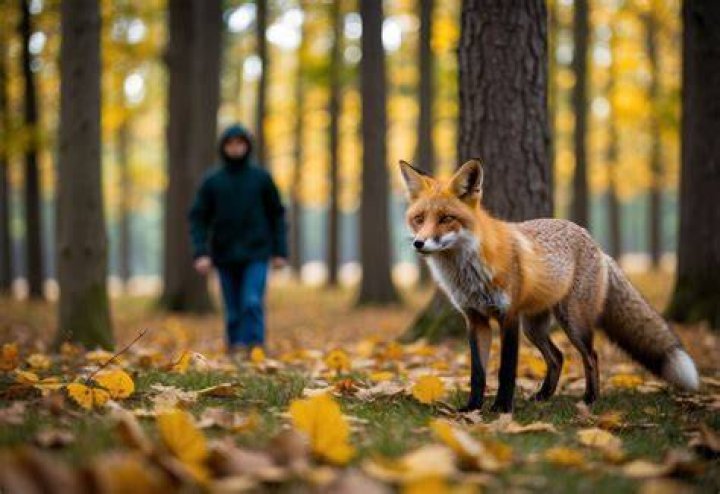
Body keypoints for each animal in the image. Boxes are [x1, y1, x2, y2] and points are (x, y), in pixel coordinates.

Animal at [399, 159, 700, 413]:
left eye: (446, 218)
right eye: (419, 219)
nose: (419, 243)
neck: (466, 272)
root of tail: (596, 244)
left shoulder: (508, 317)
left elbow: (506, 370)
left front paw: (501, 409)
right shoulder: (475, 319)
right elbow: (478, 372)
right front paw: (472, 409)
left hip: (573, 322)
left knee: (591, 356)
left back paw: (589, 399)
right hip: (534, 327)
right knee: (557, 357)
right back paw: (543, 396)